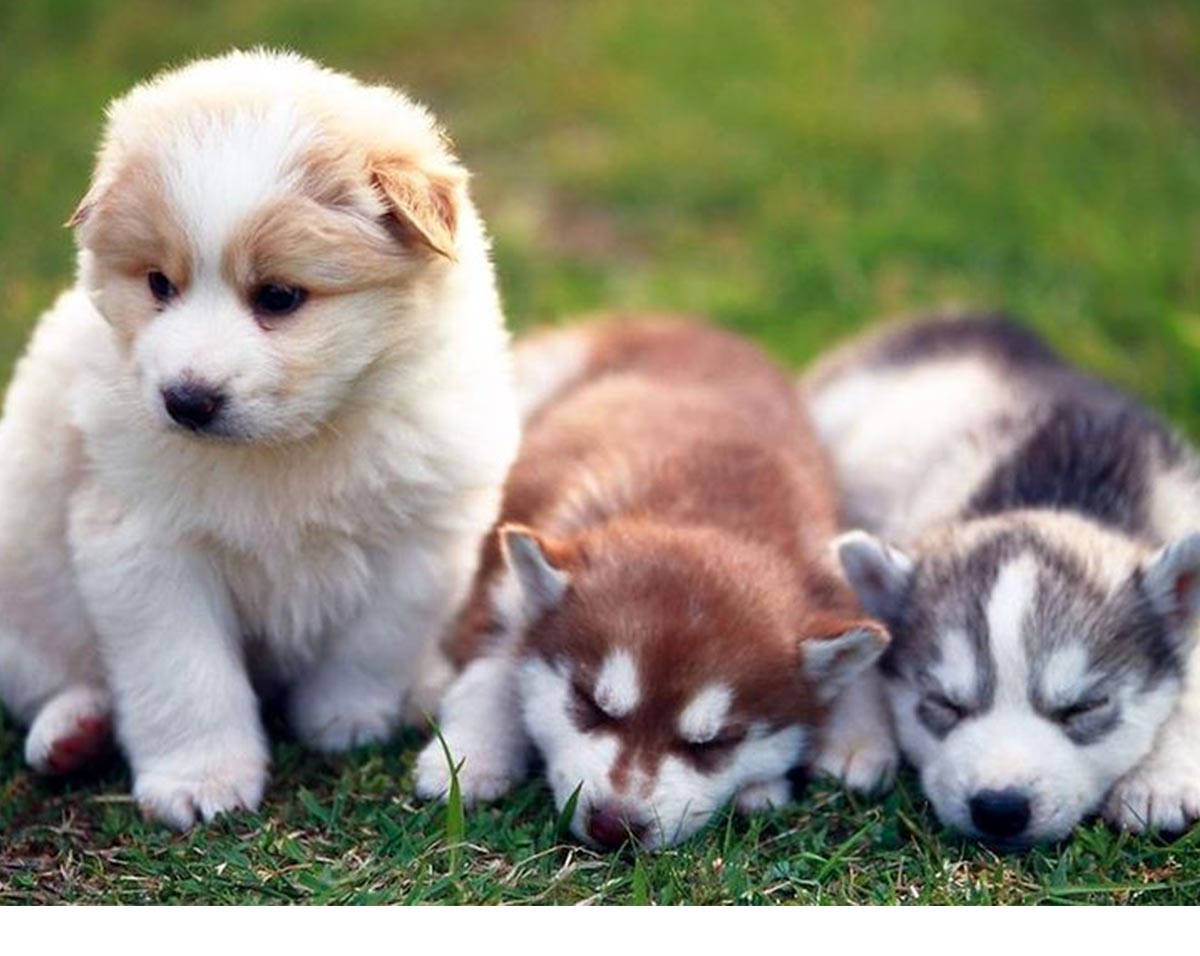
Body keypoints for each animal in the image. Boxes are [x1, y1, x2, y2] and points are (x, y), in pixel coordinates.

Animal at [0, 50, 520, 830]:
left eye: (278, 296)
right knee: (48, 680)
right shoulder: (147, 551)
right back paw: (74, 732)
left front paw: (346, 718)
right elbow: (184, 675)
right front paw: (200, 780)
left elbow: (374, 642)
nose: (185, 400)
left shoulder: (420, 538)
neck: (293, 446)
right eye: (159, 284)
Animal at [417, 316, 888, 844]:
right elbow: (495, 661)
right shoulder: (509, 561)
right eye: (592, 705)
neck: (707, 507)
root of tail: (679, 321)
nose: (612, 826)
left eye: (712, 744)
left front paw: (850, 742)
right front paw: (471, 755)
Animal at [801, 314, 1200, 844]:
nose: (1000, 809)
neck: (1055, 491)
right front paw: (855, 738)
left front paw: (1160, 778)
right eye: (944, 704)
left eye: (1083, 708)